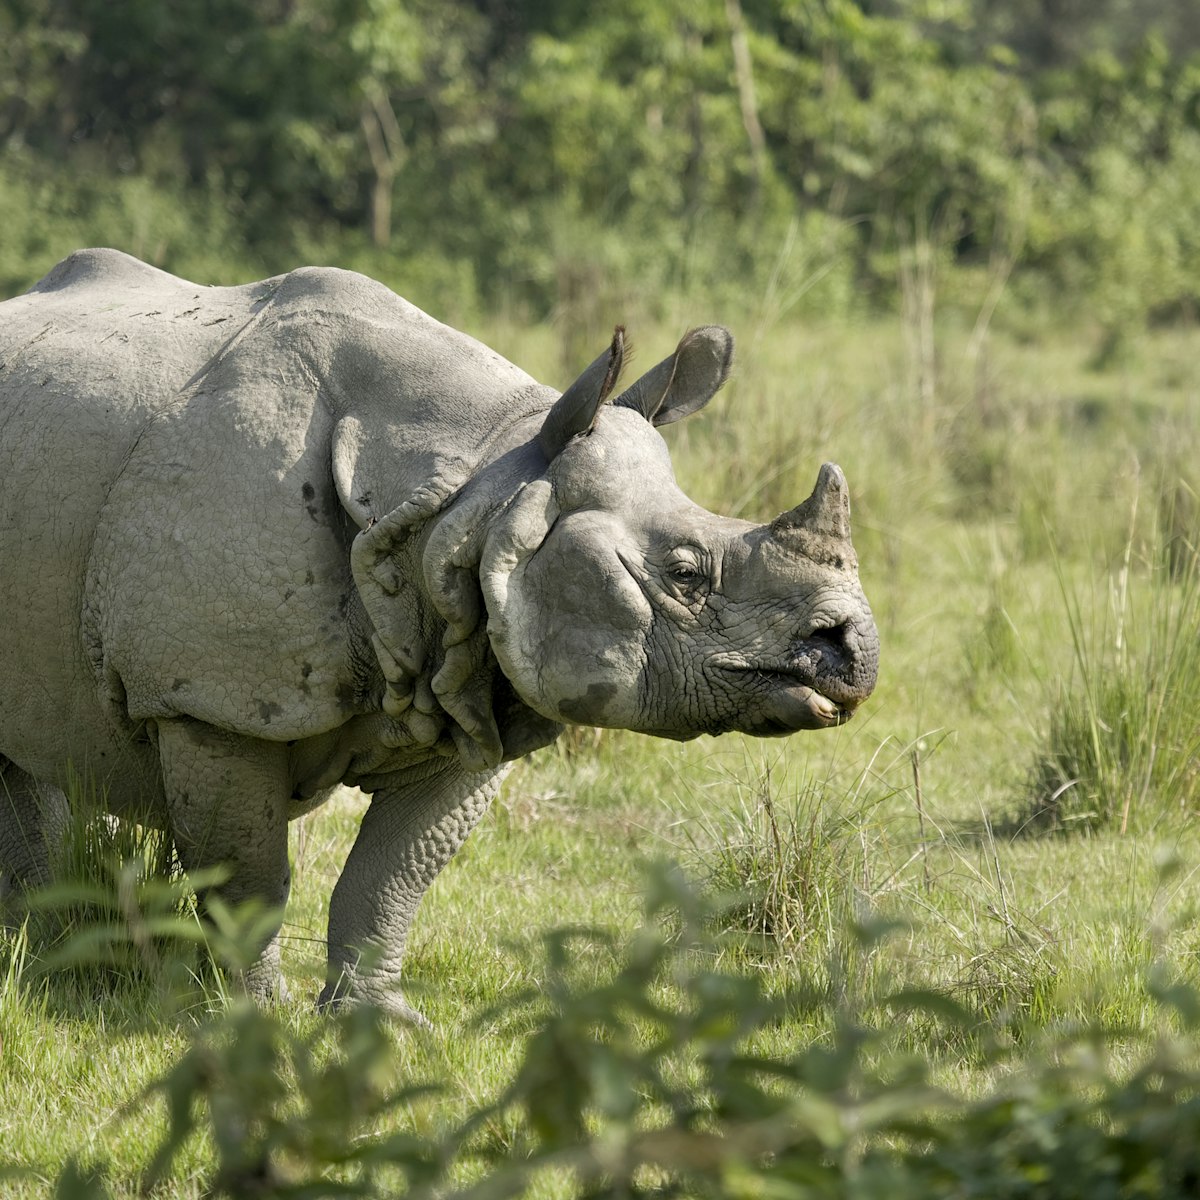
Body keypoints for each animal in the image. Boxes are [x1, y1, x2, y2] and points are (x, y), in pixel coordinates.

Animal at [0, 248, 878, 1017]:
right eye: (687, 575)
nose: (854, 654)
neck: (475, 488)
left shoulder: (473, 674)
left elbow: (392, 876)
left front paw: (376, 1021)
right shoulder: (208, 699)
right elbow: (248, 877)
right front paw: (253, 1019)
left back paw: (36, 948)